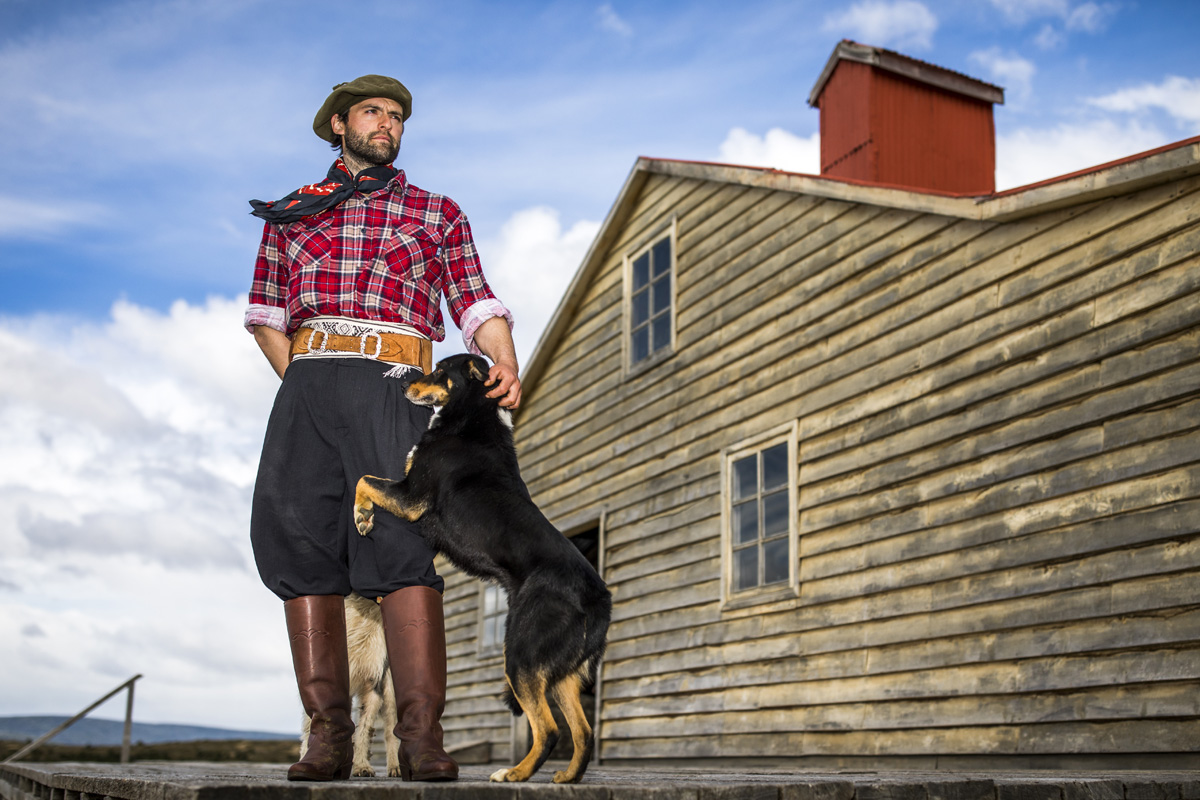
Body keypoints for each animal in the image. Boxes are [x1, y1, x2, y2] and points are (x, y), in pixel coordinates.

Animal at [350, 355, 609, 782]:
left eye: (440, 371)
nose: (404, 386)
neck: (472, 415)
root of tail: (598, 597)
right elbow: (367, 480)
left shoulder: (410, 497)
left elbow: (364, 480)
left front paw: (362, 516)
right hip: (560, 672)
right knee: (583, 732)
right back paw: (566, 778)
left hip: (520, 655)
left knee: (550, 730)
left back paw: (514, 775)